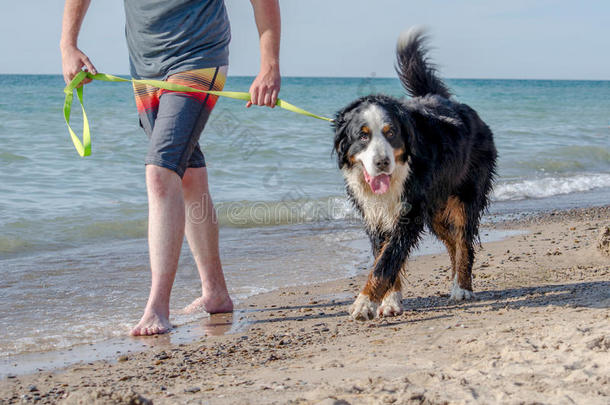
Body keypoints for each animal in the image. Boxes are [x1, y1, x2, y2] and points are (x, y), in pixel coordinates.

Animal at [332, 27, 494, 318]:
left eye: (391, 133)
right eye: (362, 136)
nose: (382, 162)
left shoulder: (408, 213)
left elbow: (386, 261)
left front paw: (365, 302)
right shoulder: (377, 214)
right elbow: (384, 256)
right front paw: (390, 301)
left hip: (464, 197)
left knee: (463, 242)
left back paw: (462, 287)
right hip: (436, 209)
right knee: (452, 242)